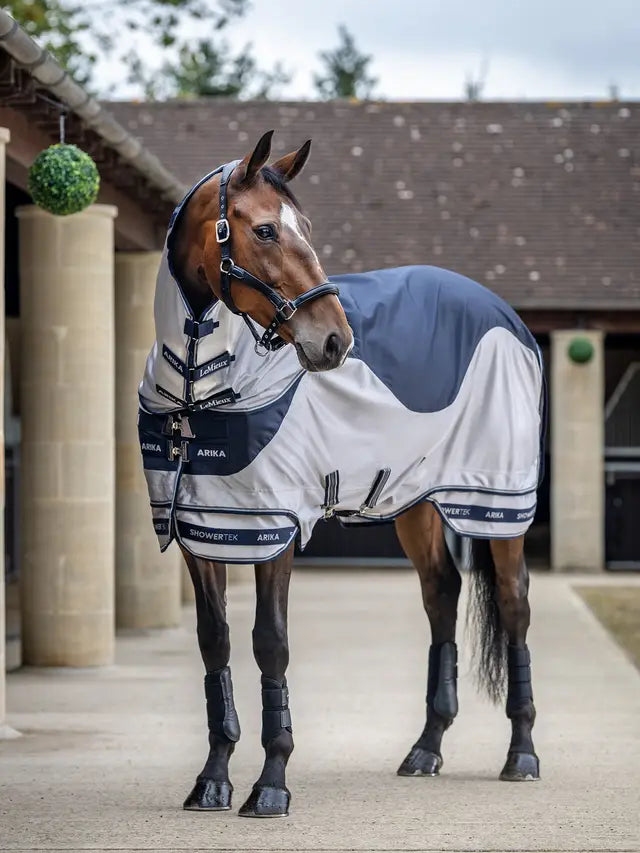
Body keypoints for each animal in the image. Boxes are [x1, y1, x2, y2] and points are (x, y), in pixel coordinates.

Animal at [137, 130, 543, 817]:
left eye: (306, 227)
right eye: (265, 229)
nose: (334, 341)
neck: (198, 382)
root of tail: (509, 320)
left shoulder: (273, 528)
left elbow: (270, 643)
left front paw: (271, 785)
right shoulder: (201, 530)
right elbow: (214, 642)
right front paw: (213, 780)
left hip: (495, 505)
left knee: (513, 606)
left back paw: (521, 756)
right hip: (416, 505)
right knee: (441, 597)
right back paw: (426, 749)